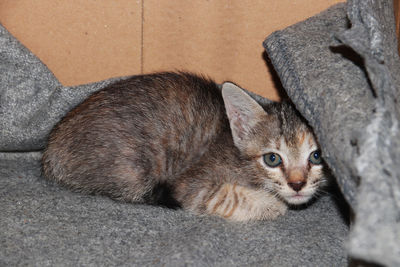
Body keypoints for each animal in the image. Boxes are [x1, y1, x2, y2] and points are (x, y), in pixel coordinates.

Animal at [42, 72, 326, 223]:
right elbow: (228, 196)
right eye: (272, 159)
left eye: (316, 156)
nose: (297, 185)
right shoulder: (190, 185)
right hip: (132, 170)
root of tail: (50, 151)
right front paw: (272, 204)